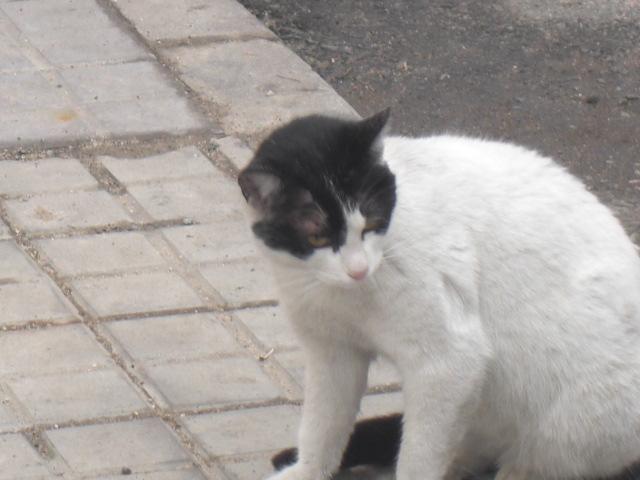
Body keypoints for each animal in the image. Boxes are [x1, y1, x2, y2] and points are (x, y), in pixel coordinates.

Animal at [236, 109, 640, 480]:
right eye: (317, 237)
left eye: (372, 222)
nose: (358, 269)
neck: (344, 294)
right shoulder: (333, 353)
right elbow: (323, 425)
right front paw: (307, 470)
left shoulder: (448, 363)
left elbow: (418, 455)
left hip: (565, 426)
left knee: (527, 462)